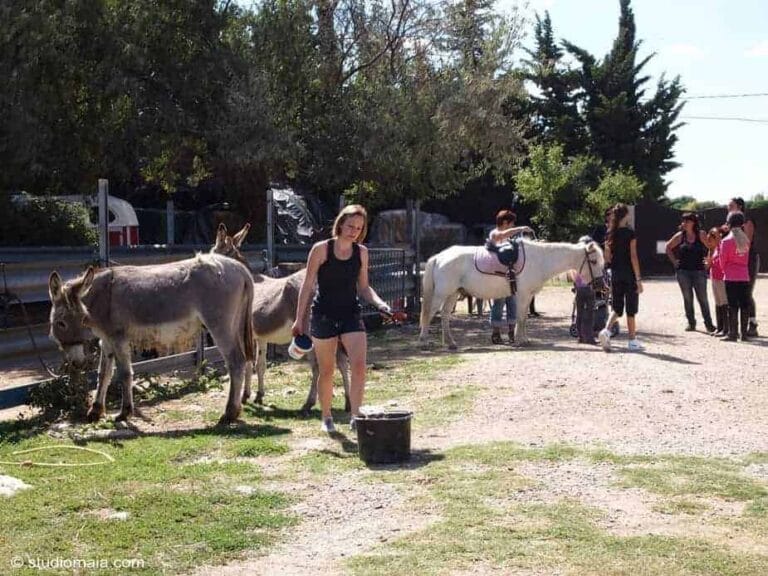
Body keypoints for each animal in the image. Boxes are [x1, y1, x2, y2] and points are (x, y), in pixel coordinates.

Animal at [48, 253, 255, 424]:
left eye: (61, 324)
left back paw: (229, 413)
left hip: (220, 325)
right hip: (236, 324)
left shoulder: (118, 338)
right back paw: (237, 407)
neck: (102, 296)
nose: (77, 363)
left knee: (236, 361)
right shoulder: (106, 340)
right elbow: (103, 374)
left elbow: (124, 373)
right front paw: (95, 411)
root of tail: (240, 268)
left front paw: (125, 412)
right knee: (245, 359)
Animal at [211, 224, 350, 414]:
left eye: (213, 253)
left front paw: (245, 397)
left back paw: (308, 403)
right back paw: (348, 403)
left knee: (318, 366)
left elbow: (248, 363)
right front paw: (257, 395)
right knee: (343, 361)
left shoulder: (243, 334)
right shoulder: (260, 337)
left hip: (310, 334)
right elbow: (259, 365)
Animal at [419, 238, 605, 348]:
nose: (600, 285)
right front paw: (520, 340)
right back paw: (424, 341)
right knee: (429, 314)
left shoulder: (527, 296)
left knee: (444, 316)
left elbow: (523, 318)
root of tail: (439, 257)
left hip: (452, 294)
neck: (539, 259)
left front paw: (524, 339)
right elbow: (521, 318)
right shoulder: (523, 295)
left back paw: (451, 342)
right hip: (441, 294)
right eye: (594, 261)